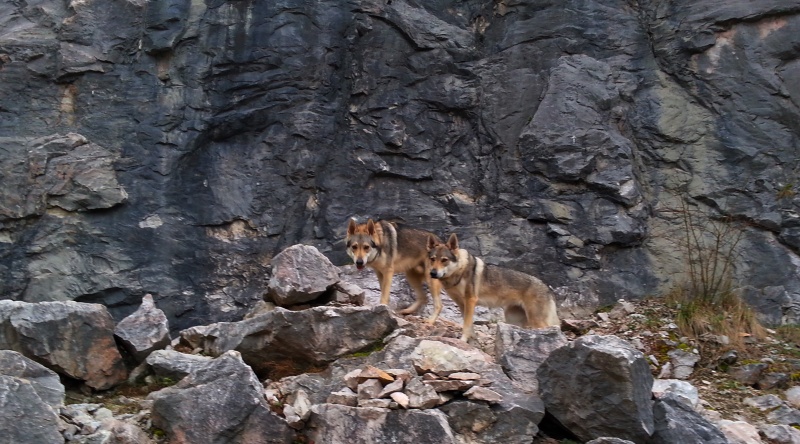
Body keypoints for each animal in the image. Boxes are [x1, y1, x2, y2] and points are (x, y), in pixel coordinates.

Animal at [428, 232, 560, 340]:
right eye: (433, 259)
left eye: (444, 260)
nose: (432, 273)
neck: (459, 271)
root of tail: (548, 288)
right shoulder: (462, 304)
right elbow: (469, 325)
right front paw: (472, 340)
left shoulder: (470, 300)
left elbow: (466, 325)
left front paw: (463, 340)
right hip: (513, 321)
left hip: (537, 322)